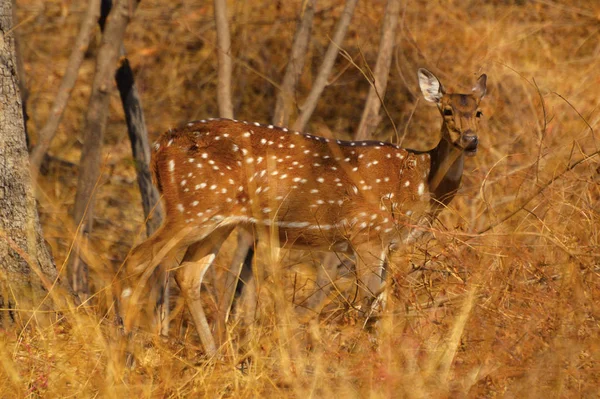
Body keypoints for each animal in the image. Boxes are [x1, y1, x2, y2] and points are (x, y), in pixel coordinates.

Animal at [120, 68, 488, 356]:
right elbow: (369, 305)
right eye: (446, 110)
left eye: (479, 112)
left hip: (218, 219)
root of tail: (159, 147)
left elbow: (381, 305)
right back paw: (123, 345)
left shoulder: (388, 243)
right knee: (139, 258)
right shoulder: (366, 231)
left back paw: (214, 355)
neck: (417, 182)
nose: (470, 140)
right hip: (193, 207)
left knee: (186, 273)